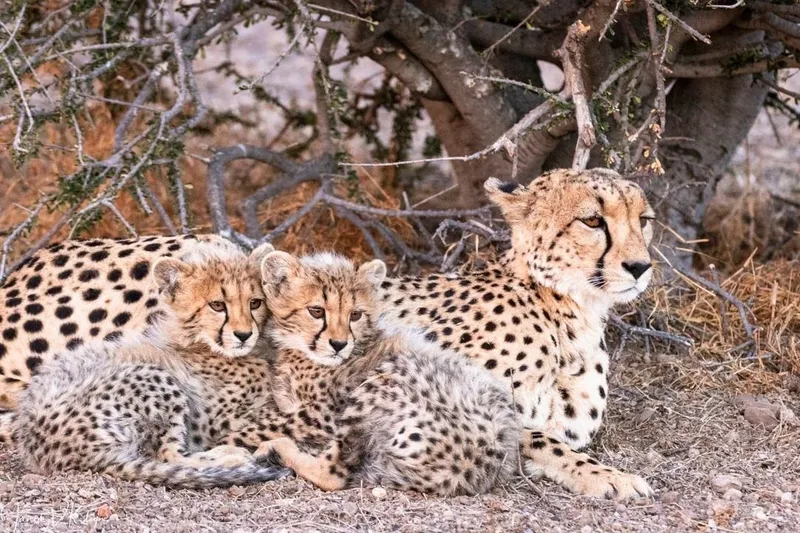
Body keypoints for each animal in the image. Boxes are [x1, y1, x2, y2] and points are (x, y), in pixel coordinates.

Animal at [223, 251, 521, 495]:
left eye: (355, 314)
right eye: (316, 311)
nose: (339, 344)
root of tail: (481, 465)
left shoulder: (320, 416)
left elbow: (248, 429)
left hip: (379, 382)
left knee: (334, 474)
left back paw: (277, 447)